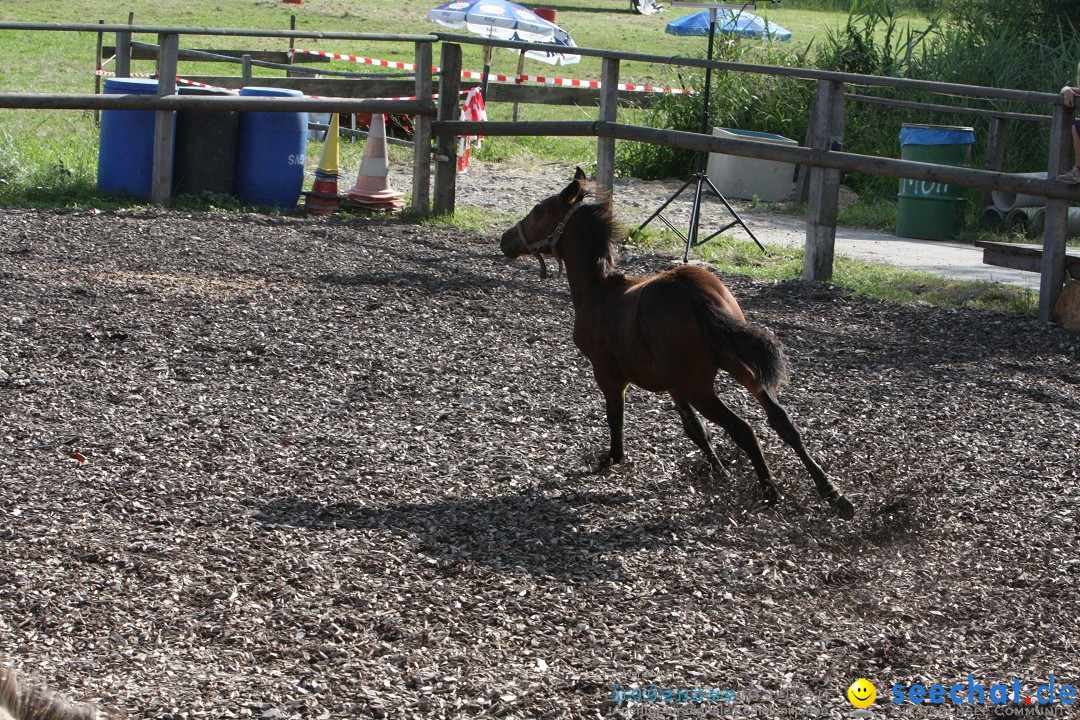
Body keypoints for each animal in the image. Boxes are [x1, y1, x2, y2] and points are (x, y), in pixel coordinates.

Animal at [501, 169, 855, 518]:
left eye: (538, 212)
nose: (505, 240)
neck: (598, 291)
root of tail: (695, 296)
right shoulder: (672, 383)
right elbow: (694, 429)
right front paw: (719, 470)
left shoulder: (608, 375)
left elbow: (616, 416)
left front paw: (612, 457)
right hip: (738, 367)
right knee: (782, 421)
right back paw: (833, 494)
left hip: (700, 387)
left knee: (743, 429)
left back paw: (770, 492)